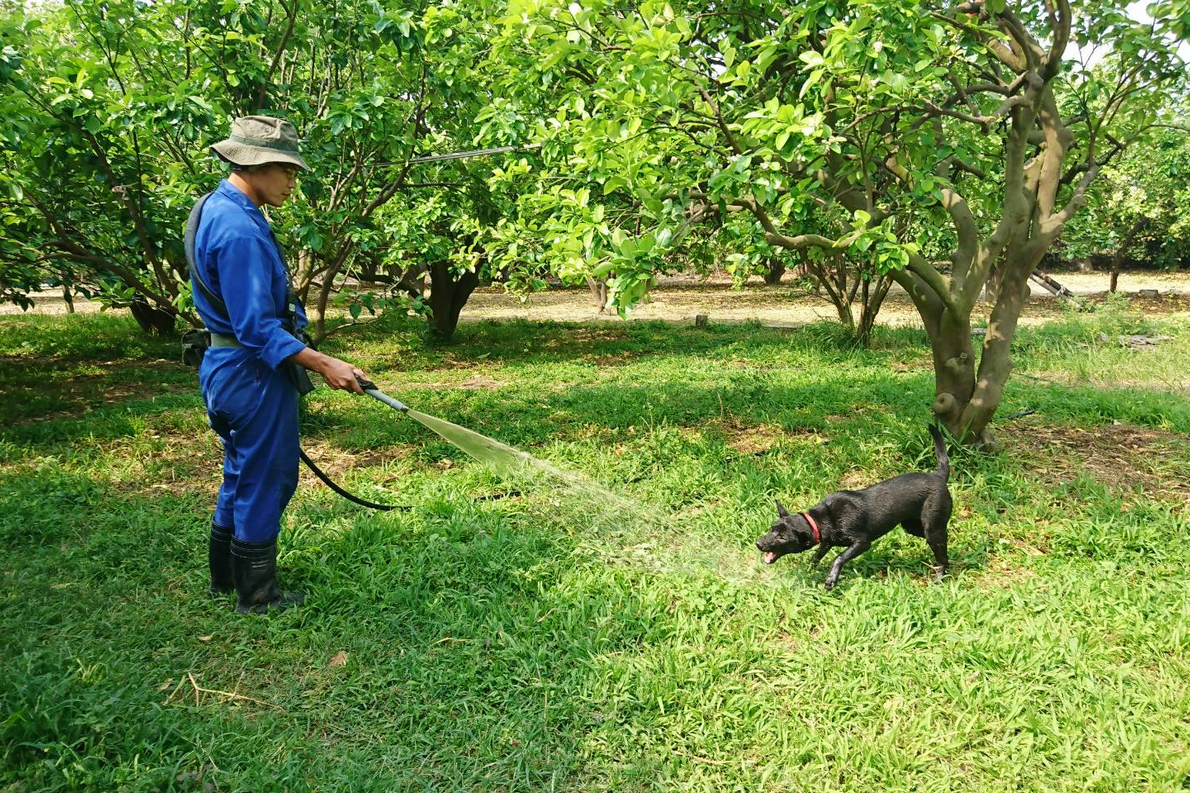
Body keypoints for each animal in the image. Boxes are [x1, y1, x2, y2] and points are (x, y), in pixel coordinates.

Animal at [756, 426, 952, 585]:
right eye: (772, 529)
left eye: (783, 538)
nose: (758, 543)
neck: (822, 519)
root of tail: (939, 476)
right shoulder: (827, 542)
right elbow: (817, 555)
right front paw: (810, 570)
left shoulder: (862, 543)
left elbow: (838, 557)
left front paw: (831, 579)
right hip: (911, 526)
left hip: (931, 528)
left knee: (942, 552)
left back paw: (940, 575)